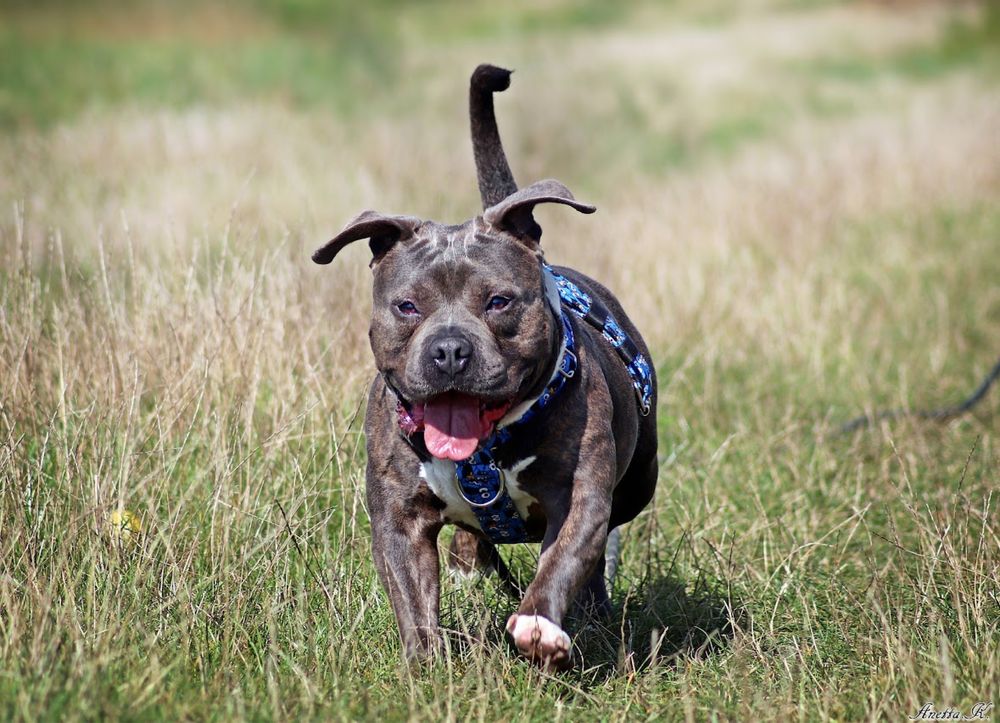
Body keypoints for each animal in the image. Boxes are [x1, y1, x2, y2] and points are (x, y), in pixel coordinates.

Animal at [312, 66, 656, 668]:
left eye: (498, 302)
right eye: (407, 306)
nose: (450, 350)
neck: (486, 451)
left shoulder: (581, 496)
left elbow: (564, 558)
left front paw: (539, 624)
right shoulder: (399, 517)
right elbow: (412, 594)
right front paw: (426, 663)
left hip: (641, 478)